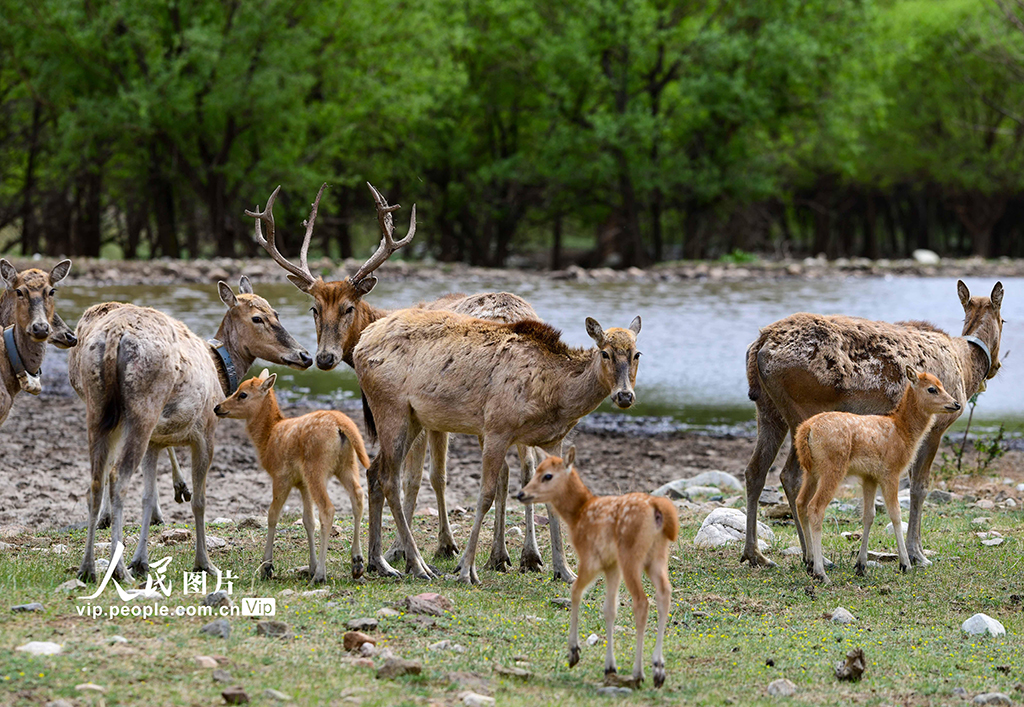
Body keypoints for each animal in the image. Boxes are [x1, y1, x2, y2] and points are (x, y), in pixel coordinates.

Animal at [70, 278, 309, 581]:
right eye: (258, 318)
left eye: (276, 313)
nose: (305, 355)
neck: (221, 372)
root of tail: (114, 335)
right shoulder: (205, 432)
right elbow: (199, 500)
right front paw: (204, 563)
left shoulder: (156, 442)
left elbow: (149, 497)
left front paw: (142, 561)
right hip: (143, 408)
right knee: (117, 479)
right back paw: (119, 570)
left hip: (97, 408)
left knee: (95, 483)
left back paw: (87, 568)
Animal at [242, 181, 573, 577]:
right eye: (314, 308)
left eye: (349, 307)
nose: (324, 358)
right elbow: (435, 476)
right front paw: (435, 547)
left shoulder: (429, 416)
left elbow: (421, 477)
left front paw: (414, 548)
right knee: (523, 469)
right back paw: (521, 556)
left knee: (510, 470)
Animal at [352, 305, 638, 581]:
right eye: (605, 353)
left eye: (636, 354)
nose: (625, 395)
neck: (556, 398)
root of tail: (358, 345)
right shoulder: (496, 429)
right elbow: (485, 495)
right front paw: (465, 570)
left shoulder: (552, 440)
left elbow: (552, 498)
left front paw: (565, 571)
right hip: (392, 407)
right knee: (389, 478)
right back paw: (417, 565)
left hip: (413, 419)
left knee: (374, 472)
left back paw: (380, 563)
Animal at [741, 278, 1003, 565]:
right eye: (1004, 319)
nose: (997, 366)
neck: (967, 368)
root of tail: (760, 343)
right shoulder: (936, 427)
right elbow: (919, 487)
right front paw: (917, 553)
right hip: (803, 410)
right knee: (790, 475)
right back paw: (811, 556)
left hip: (768, 410)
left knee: (755, 470)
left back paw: (755, 554)